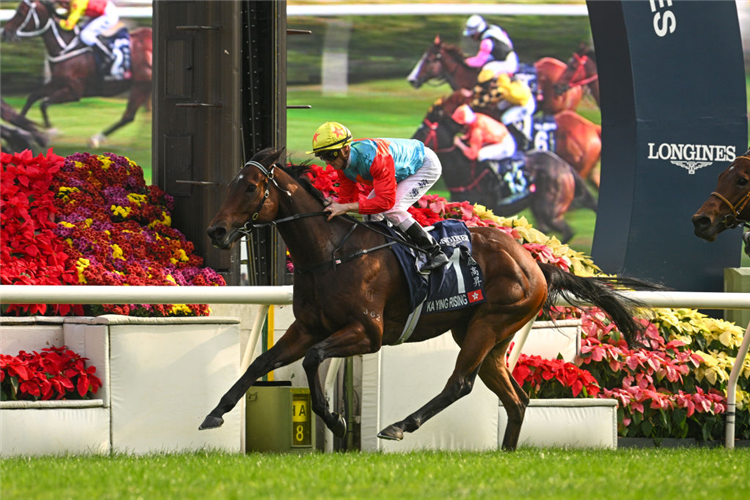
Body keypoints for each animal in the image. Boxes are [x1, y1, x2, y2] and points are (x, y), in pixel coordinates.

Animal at [0, 0, 154, 147]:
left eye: (20, 12)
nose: (4, 32)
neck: (64, 46)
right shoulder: (56, 82)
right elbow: (32, 97)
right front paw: (19, 129)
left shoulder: (75, 92)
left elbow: (44, 103)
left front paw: (52, 131)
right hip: (145, 86)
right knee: (145, 112)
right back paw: (140, 141)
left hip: (140, 85)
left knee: (128, 116)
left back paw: (95, 139)